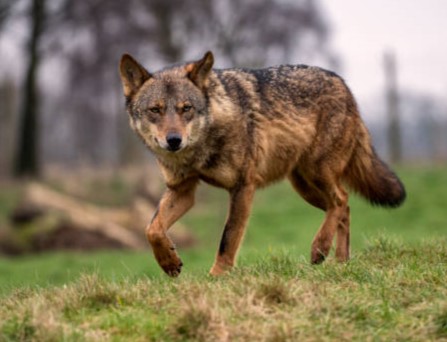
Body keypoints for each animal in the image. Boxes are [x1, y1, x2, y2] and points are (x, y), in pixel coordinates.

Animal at [118, 50, 406, 276]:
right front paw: (169, 262)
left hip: (317, 173)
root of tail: (344, 85)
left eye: (186, 108)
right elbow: (152, 228)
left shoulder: (243, 187)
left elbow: (228, 238)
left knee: (341, 199)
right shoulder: (182, 190)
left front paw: (217, 277)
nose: (174, 140)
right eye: (155, 110)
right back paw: (341, 262)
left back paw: (320, 249)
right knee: (343, 207)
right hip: (304, 186)